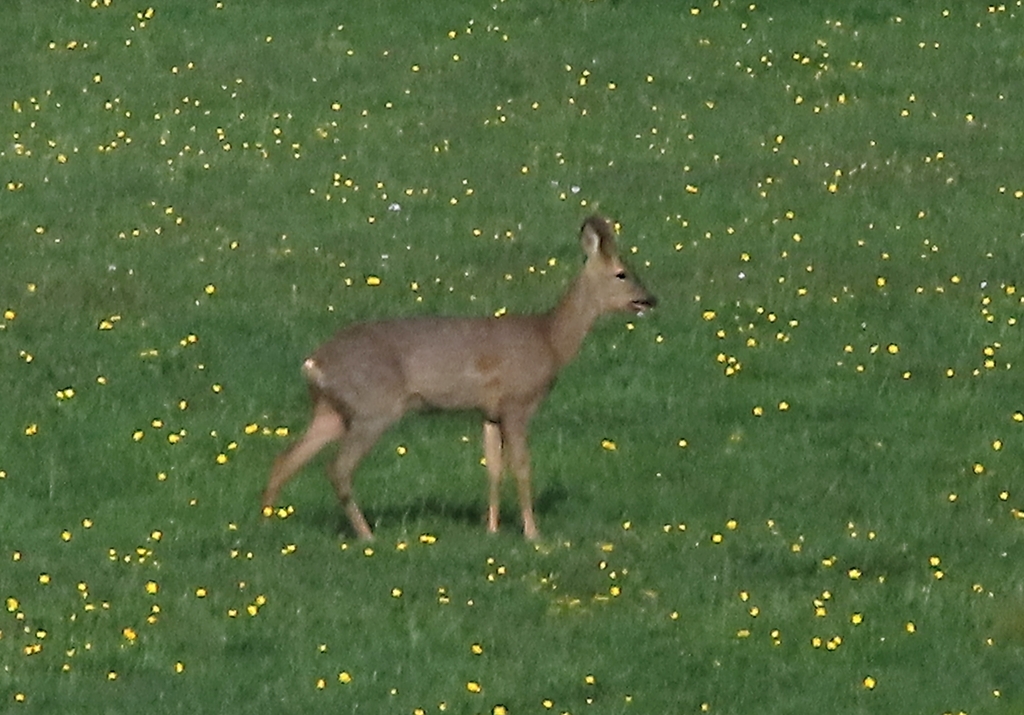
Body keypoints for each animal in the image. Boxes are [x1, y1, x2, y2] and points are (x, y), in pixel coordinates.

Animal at [261, 215, 656, 540]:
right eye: (622, 273)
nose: (650, 299)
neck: (550, 340)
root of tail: (313, 362)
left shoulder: (489, 412)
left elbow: (493, 468)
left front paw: (492, 529)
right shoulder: (518, 402)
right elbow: (522, 467)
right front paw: (533, 534)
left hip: (331, 410)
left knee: (286, 457)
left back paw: (266, 521)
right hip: (372, 408)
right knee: (337, 469)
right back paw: (367, 535)